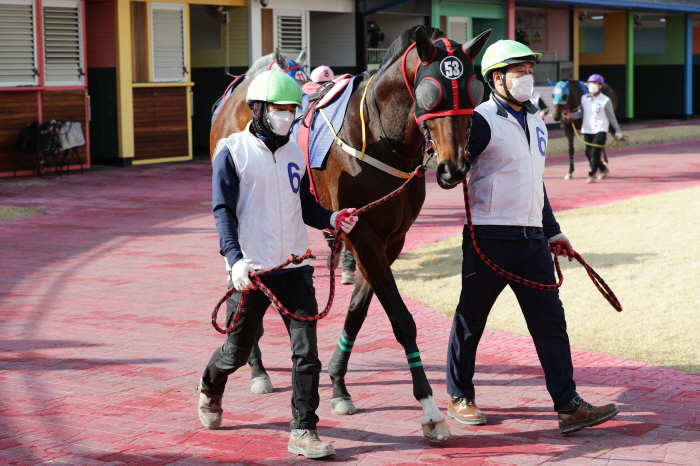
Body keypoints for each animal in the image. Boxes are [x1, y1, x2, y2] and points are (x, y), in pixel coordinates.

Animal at [211, 27, 490, 442]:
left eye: (472, 91)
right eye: (432, 93)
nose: (453, 169)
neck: (378, 138)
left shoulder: (388, 240)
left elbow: (357, 312)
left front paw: (339, 385)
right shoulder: (364, 236)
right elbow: (402, 321)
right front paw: (429, 409)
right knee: (243, 280)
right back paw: (256, 366)